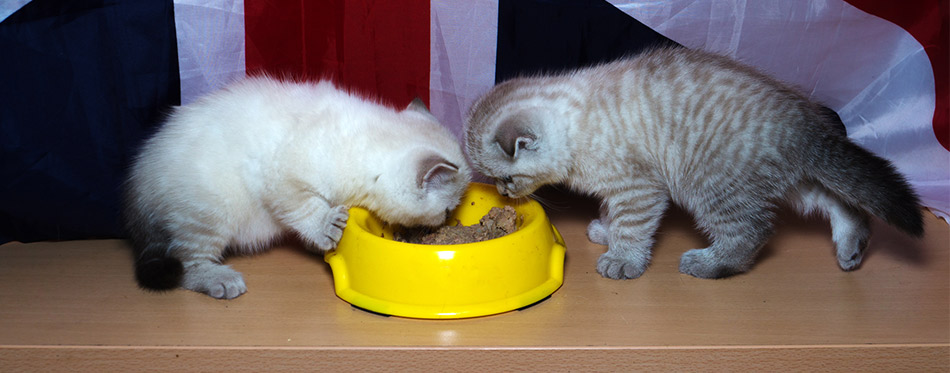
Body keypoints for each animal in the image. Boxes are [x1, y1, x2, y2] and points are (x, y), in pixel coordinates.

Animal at [124, 77, 470, 298]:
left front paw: (321, 243)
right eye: (447, 211)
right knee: (187, 263)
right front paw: (328, 226)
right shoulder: (281, 179)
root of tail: (137, 182)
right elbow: (308, 208)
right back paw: (221, 280)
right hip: (211, 212)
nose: (443, 225)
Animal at [464, 47, 924, 280]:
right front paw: (607, 232)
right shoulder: (622, 190)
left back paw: (711, 264)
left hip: (709, 185)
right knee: (840, 200)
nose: (502, 192)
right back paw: (851, 246)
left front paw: (622, 257)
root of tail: (804, 121)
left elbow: (632, 227)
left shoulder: (639, 188)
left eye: (507, 179)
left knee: (753, 231)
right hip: (792, 182)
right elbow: (614, 216)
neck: (576, 124)